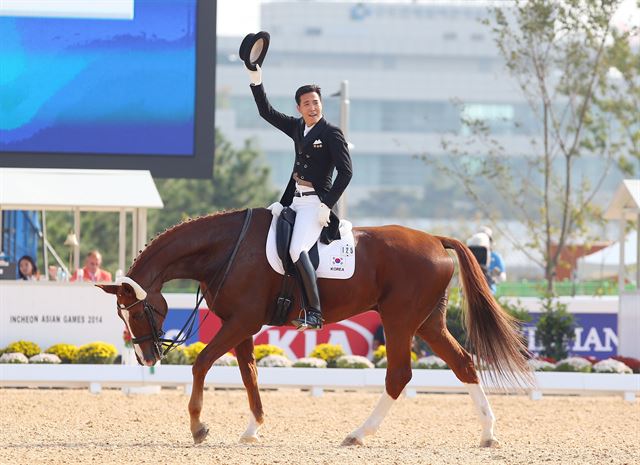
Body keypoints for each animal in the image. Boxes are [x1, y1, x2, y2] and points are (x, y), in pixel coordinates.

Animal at [99, 208, 528, 446]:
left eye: (136, 312)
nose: (147, 356)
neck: (227, 249)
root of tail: (436, 240)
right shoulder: (241, 324)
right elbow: (250, 374)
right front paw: (253, 429)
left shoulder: (242, 321)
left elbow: (202, 363)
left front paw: (198, 426)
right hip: (428, 322)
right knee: (464, 365)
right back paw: (488, 434)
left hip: (399, 320)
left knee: (399, 376)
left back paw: (358, 434)